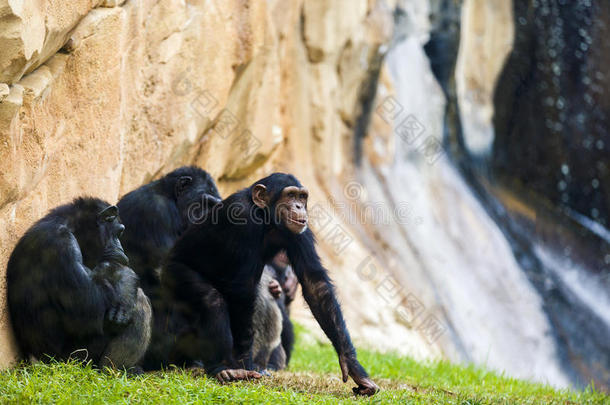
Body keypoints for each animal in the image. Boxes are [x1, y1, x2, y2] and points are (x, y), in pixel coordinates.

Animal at [6, 197, 151, 368]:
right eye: (119, 232)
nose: (121, 247)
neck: (70, 227)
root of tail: (37, 361)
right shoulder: (62, 245)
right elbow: (90, 307)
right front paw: (125, 279)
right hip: (76, 359)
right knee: (139, 303)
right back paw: (114, 369)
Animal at [154, 171, 378, 394]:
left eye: (302, 197)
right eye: (290, 195)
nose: (299, 207)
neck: (266, 218)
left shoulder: (301, 231)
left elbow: (314, 284)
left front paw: (353, 365)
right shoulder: (242, 218)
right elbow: (242, 291)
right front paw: (244, 364)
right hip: (174, 272)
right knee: (211, 300)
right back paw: (224, 368)